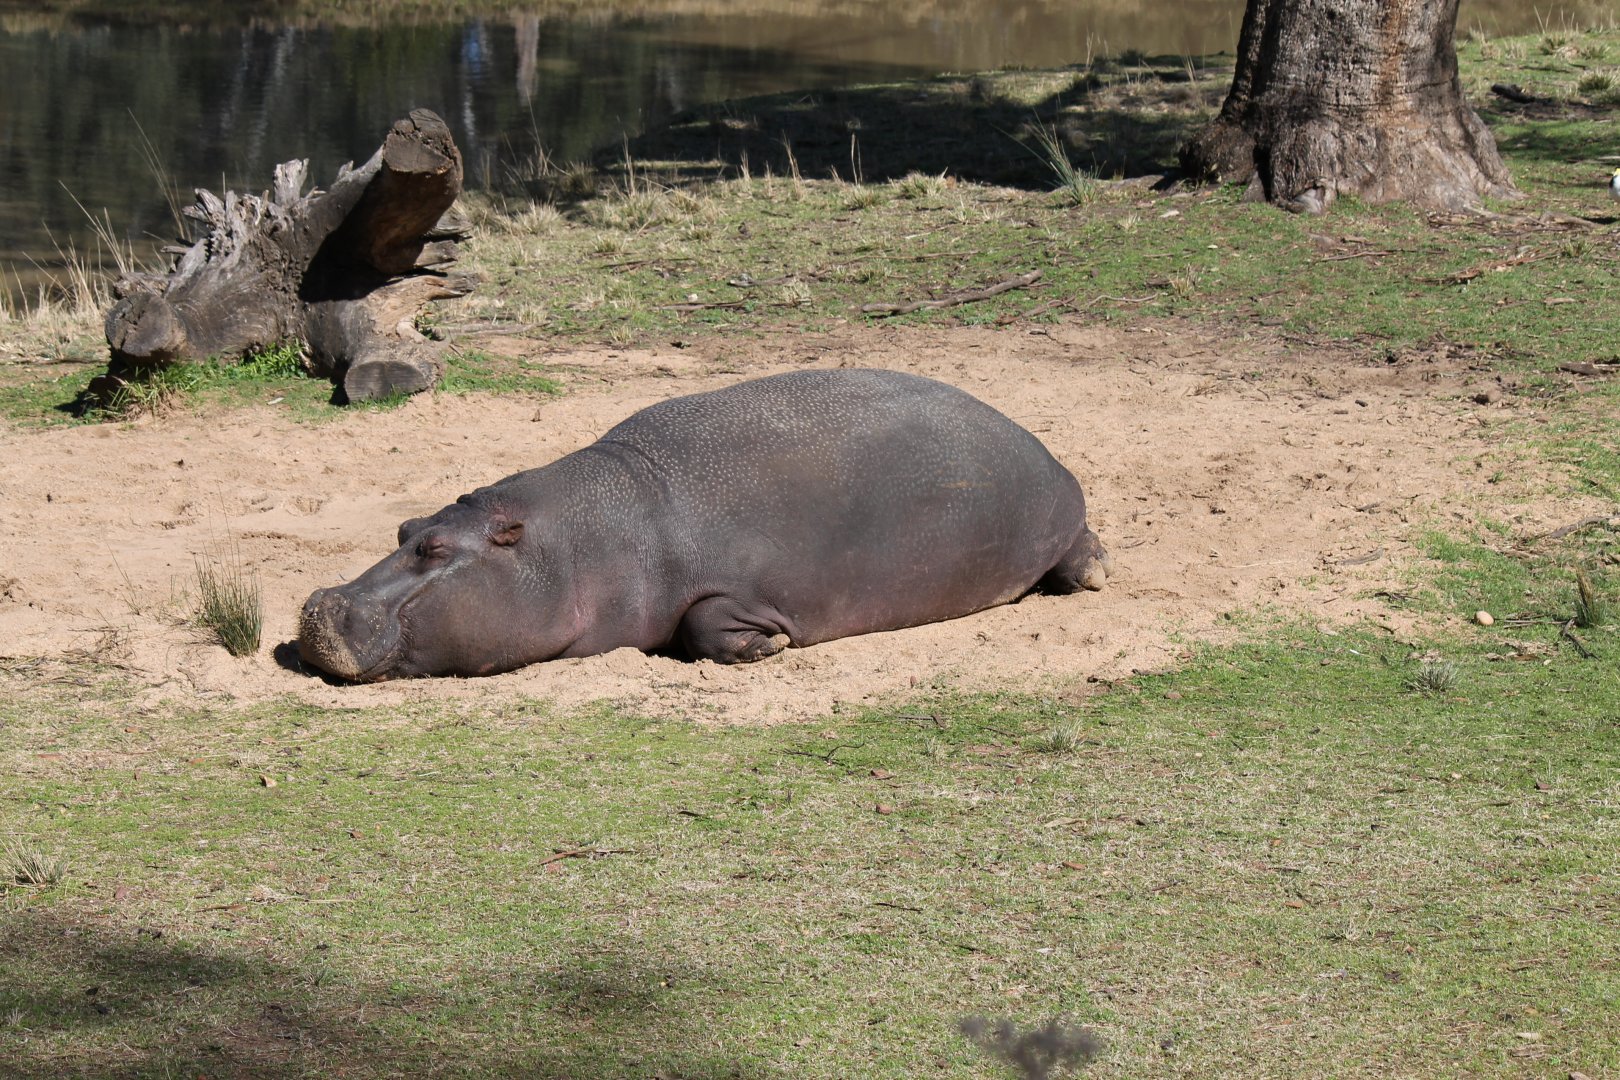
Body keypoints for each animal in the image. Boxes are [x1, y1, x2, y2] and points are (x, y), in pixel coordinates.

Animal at [297, 368, 1109, 681]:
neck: (578, 539)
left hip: (1053, 517)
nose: (318, 604)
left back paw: (1095, 572)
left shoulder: (737, 584)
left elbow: (704, 622)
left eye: (435, 546)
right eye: (403, 527)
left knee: (1077, 550)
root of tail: (1037, 443)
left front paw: (768, 647)